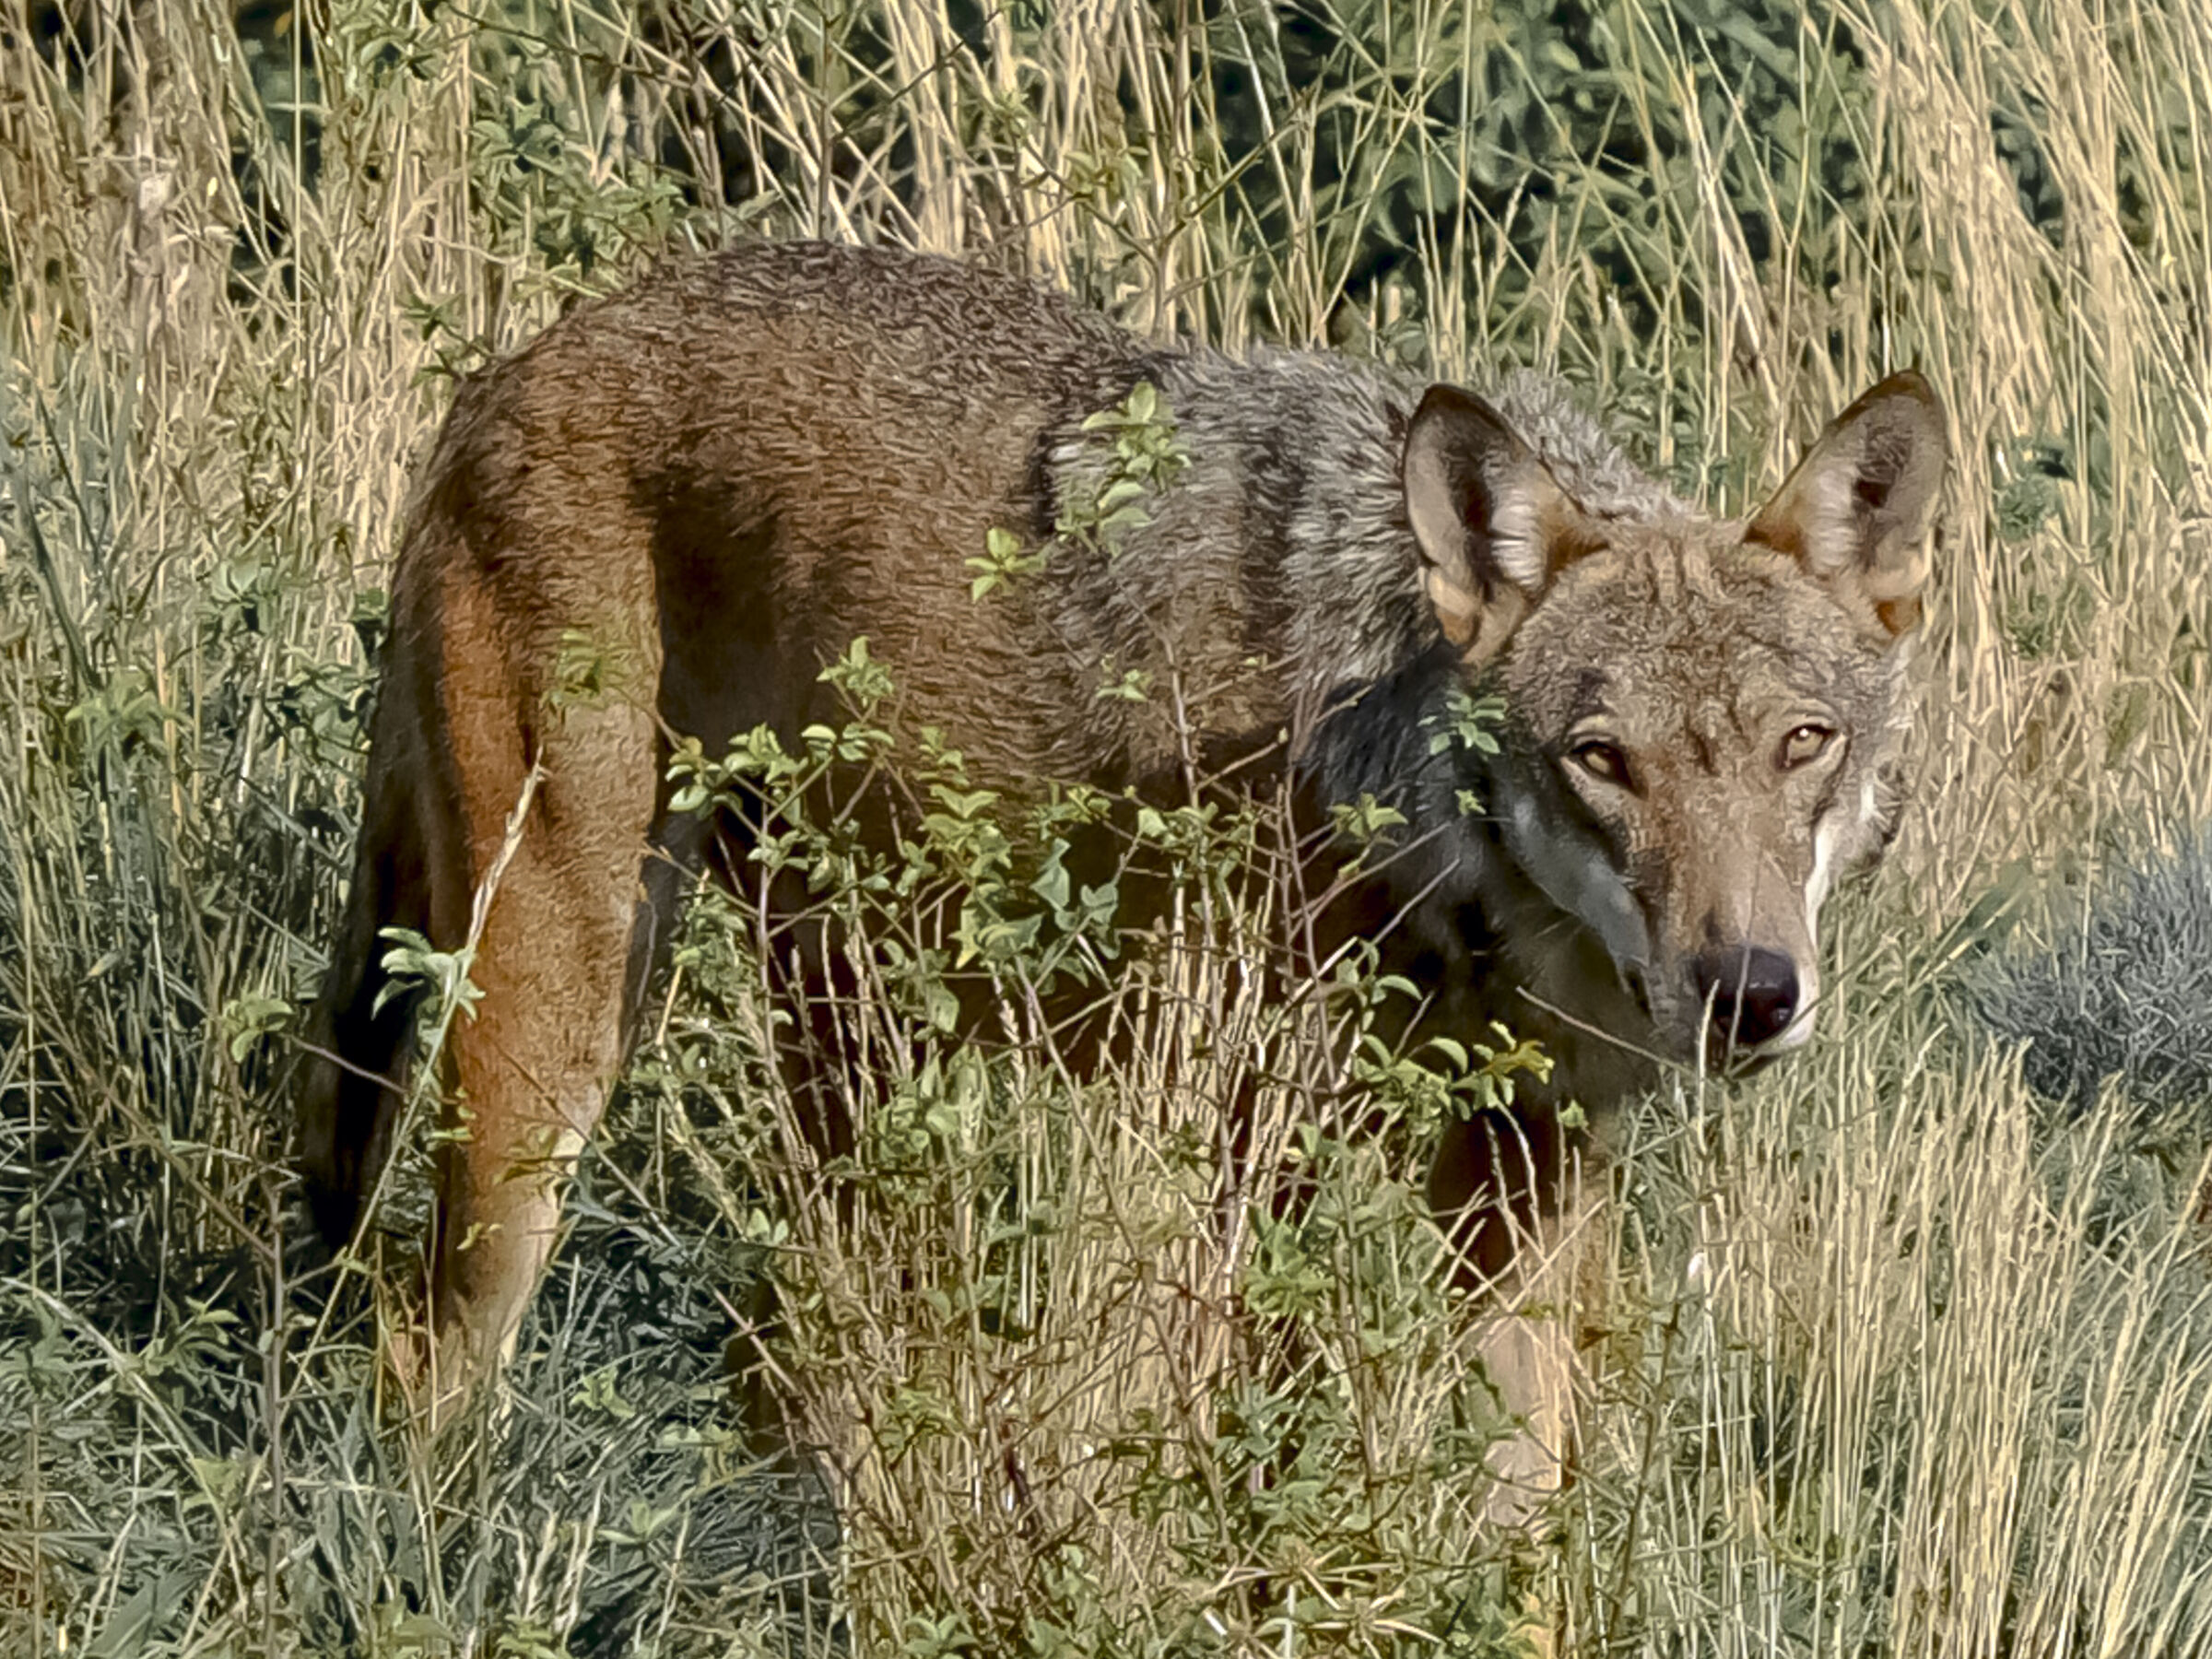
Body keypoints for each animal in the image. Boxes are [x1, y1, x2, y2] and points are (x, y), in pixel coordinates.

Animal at [297, 240, 1946, 1426]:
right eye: (1604, 762)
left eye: (1802, 746)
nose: (1751, 995)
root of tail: (512, 363)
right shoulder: (1239, 1167)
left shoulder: (1528, 1197)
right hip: (551, 1049)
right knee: (422, 1355)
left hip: (843, 1036)